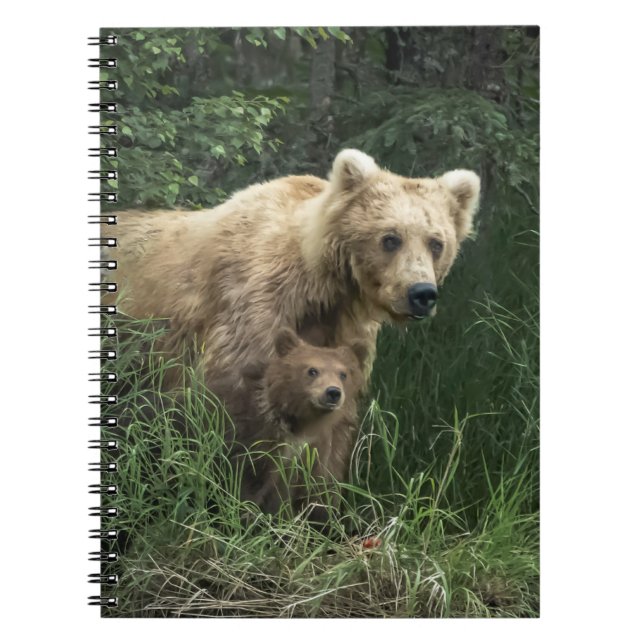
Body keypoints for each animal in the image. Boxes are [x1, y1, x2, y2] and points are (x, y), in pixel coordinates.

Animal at [105, 149, 480, 391]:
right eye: (391, 238)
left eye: (436, 243)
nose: (421, 294)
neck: (322, 285)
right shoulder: (253, 309)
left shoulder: (340, 327)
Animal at [212, 327, 368, 524]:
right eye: (312, 370)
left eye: (343, 374)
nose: (333, 392)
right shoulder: (254, 439)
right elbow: (248, 483)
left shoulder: (315, 450)